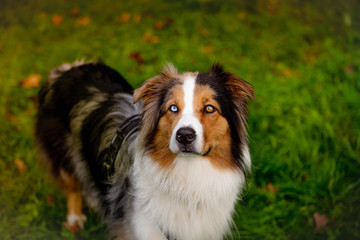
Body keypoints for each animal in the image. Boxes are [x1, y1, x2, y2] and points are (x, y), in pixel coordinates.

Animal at [33, 61, 253, 239]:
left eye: (209, 108)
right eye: (173, 108)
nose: (184, 136)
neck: (188, 177)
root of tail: (68, 69)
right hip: (63, 153)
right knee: (72, 185)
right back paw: (75, 220)